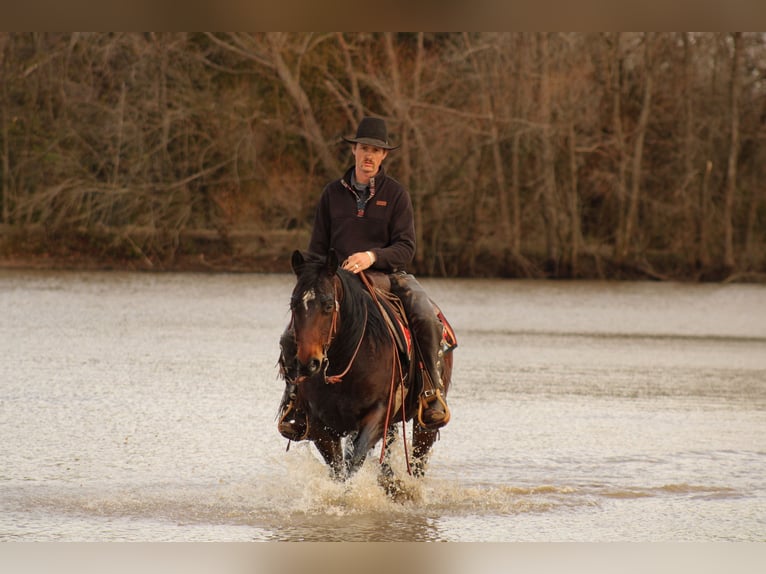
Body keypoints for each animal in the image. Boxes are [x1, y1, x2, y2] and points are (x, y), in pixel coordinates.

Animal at [281, 249, 453, 492]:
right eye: (294, 305)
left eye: (328, 305)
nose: (308, 363)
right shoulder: (319, 426)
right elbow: (338, 468)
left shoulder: (377, 414)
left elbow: (354, 460)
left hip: (424, 423)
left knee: (419, 459)